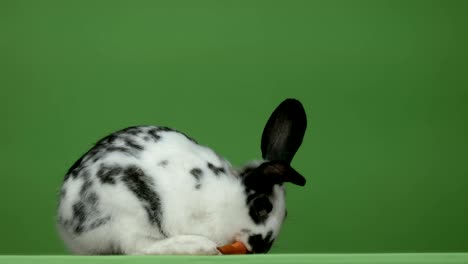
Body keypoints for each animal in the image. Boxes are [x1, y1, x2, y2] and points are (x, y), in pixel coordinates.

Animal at [56, 98, 308, 255]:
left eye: (286, 214)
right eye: (262, 207)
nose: (262, 248)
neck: (228, 198)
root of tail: (65, 222)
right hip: (126, 211)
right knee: (137, 248)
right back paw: (200, 246)